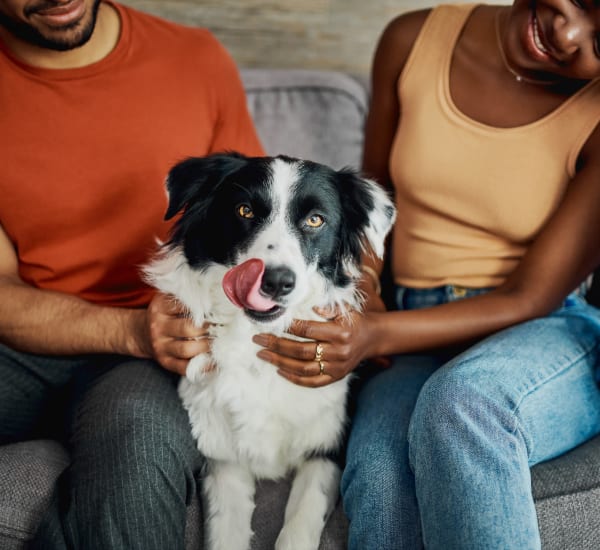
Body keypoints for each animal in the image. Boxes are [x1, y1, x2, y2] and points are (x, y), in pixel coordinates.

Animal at [145, 152, 396, 550]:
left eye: (315, 219)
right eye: (244, 210)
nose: (277, 281)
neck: (256, 340)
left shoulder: (326, 449)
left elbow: (298, 527)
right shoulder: (222, 459)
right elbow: (226, 535)